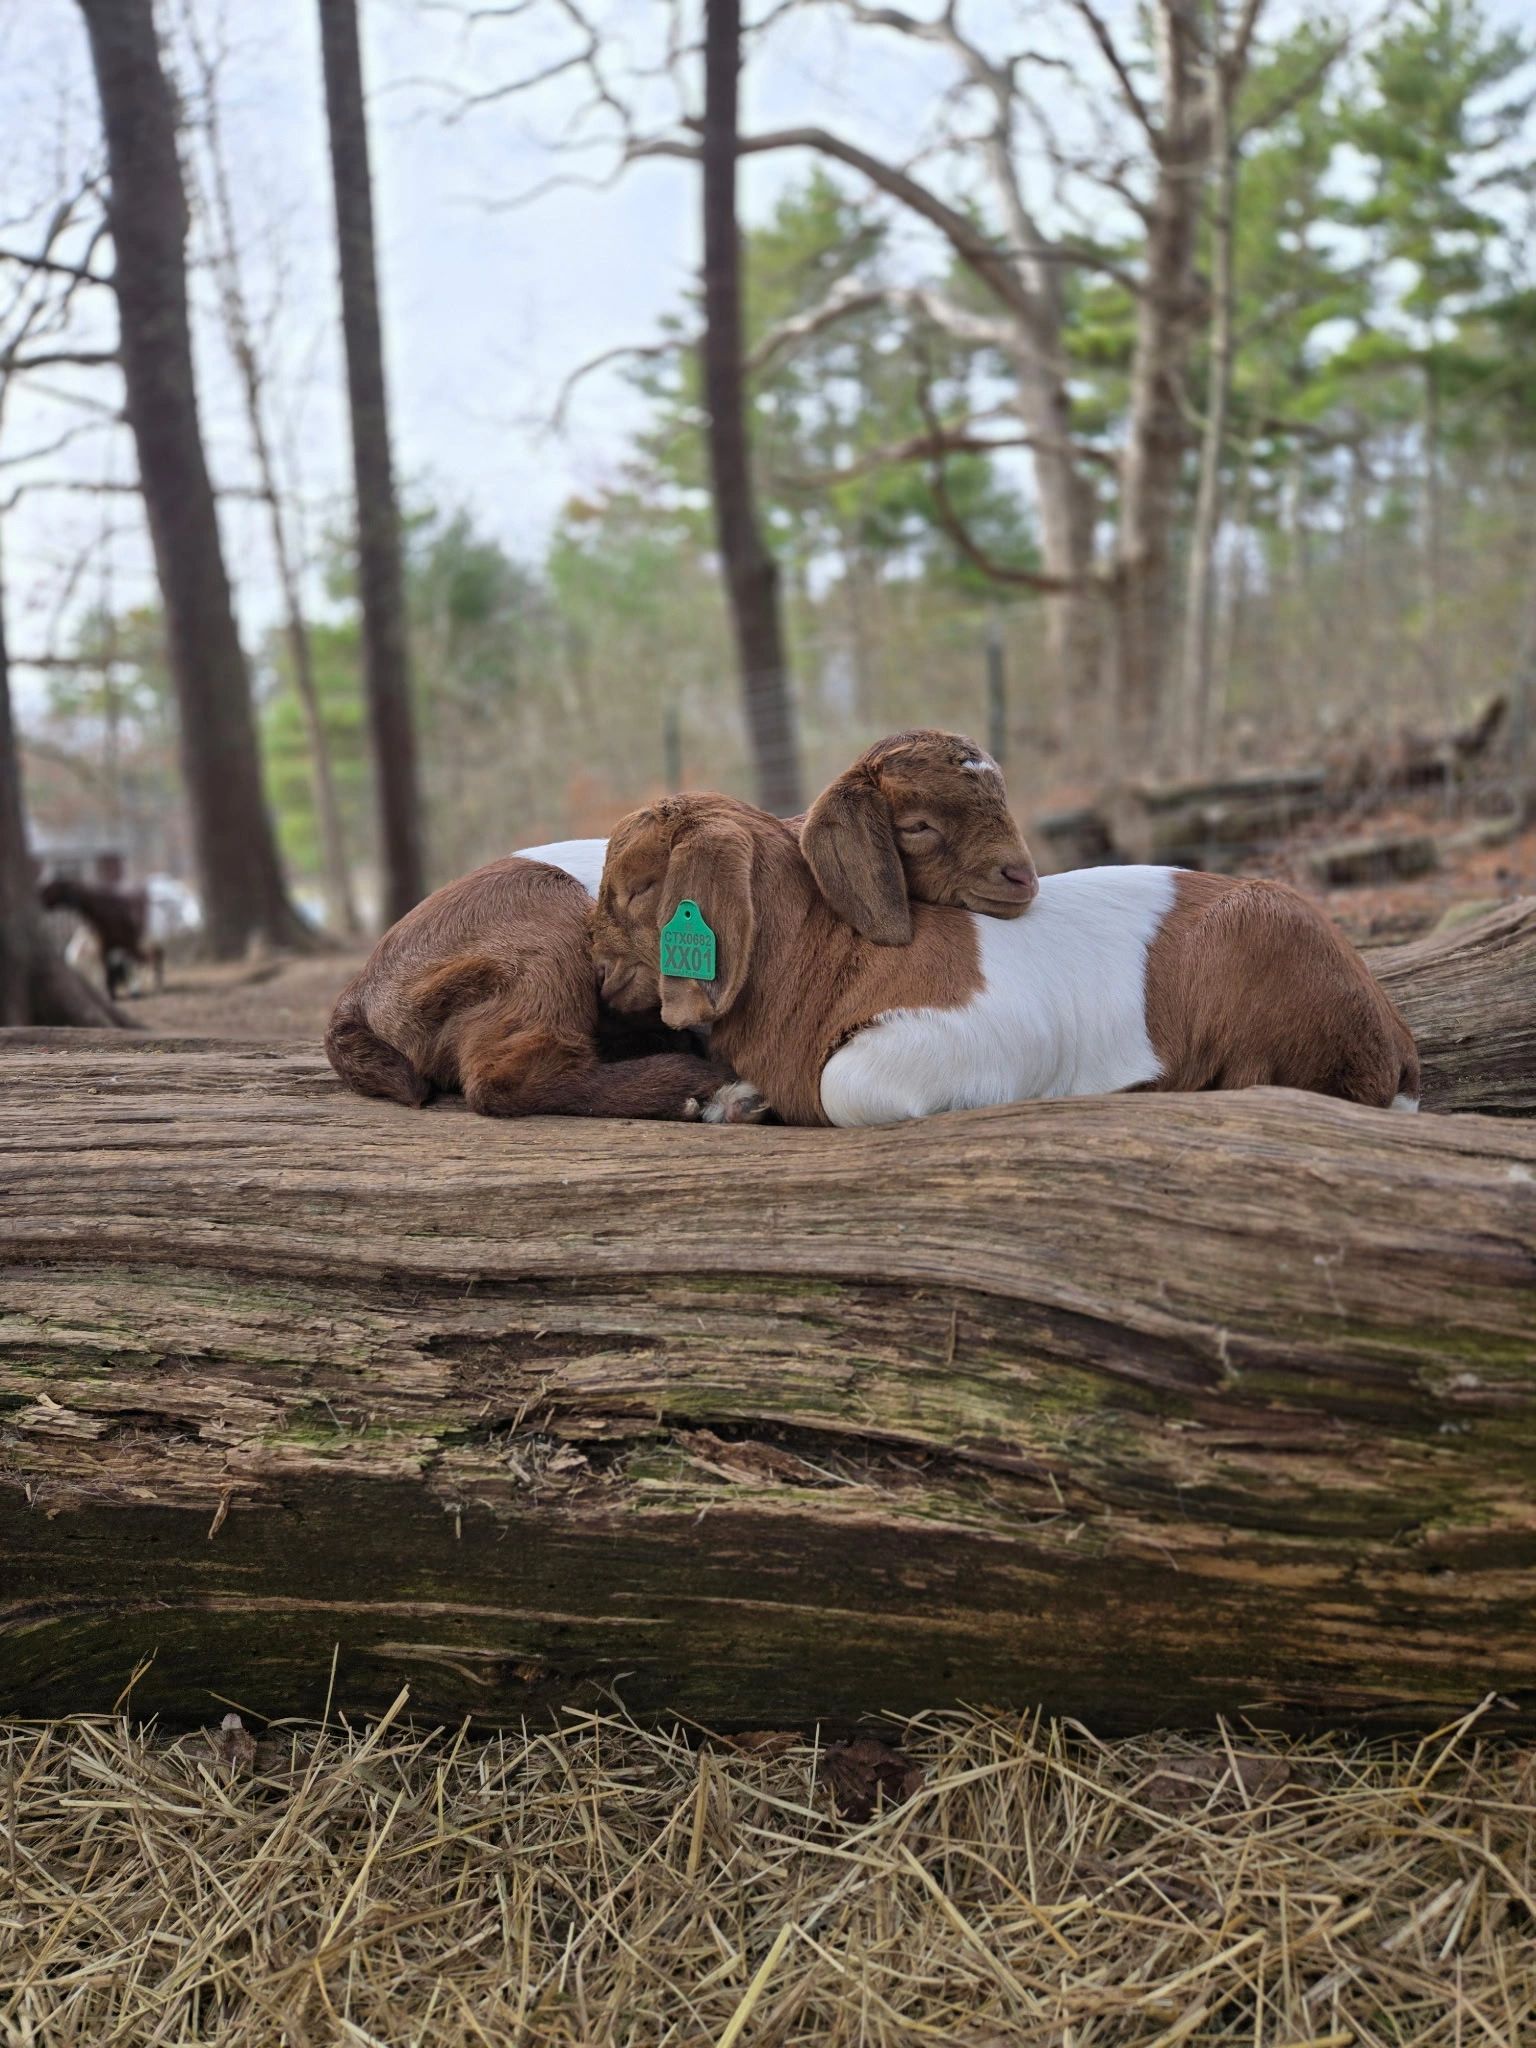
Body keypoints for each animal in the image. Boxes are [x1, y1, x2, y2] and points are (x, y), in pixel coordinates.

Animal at [325, 729, 1038, 1122]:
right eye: (917, 826)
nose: (1022, 877)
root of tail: (360, 993)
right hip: (539, 938)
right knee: (509, 1075)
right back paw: (702, 1090)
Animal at [588, 792, 1422, 1128]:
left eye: (637, 889)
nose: (591, 954)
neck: (820, 962)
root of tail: (1393, 1038)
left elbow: (845, 1084)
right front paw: (736, 1100)